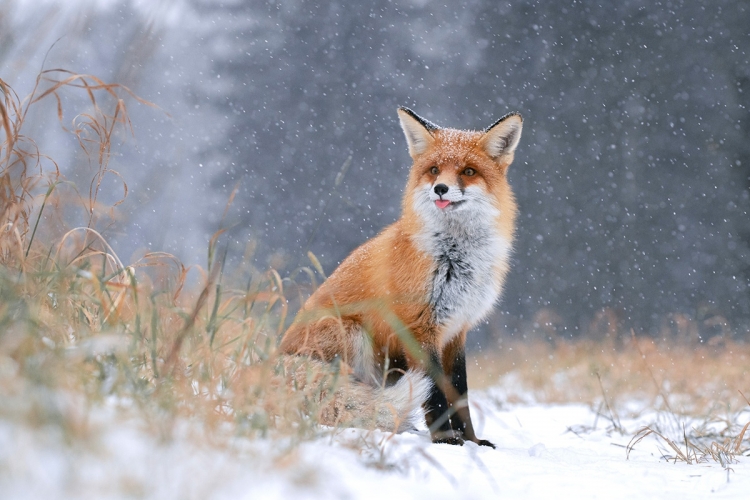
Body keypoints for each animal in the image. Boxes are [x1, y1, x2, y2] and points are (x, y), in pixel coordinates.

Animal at [280, 107, 524, 448]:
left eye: (468, 171)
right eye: (434, 170)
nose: (440, 188)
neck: (454, 259)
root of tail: (272, 361)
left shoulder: (456, 331)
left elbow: (459, 393)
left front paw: (473, 442)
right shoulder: (419, 329)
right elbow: (435, 394)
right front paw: (446, 442)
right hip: (351, 332)